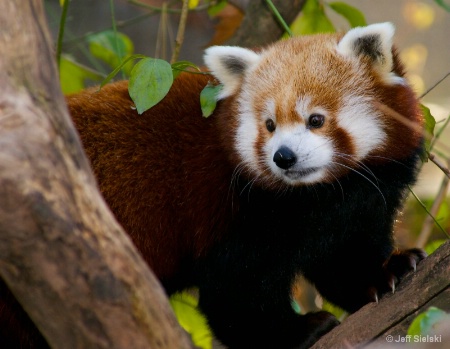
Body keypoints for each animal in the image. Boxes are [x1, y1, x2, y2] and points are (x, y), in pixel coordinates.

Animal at [1, 23, 428, 346]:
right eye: (269, 124)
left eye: (316, 119)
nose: (283, 156)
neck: (318, 195)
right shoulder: (229, 211)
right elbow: (234, 293)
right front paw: (298, 330)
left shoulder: (359, 201)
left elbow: (343, 259)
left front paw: (387, 270)